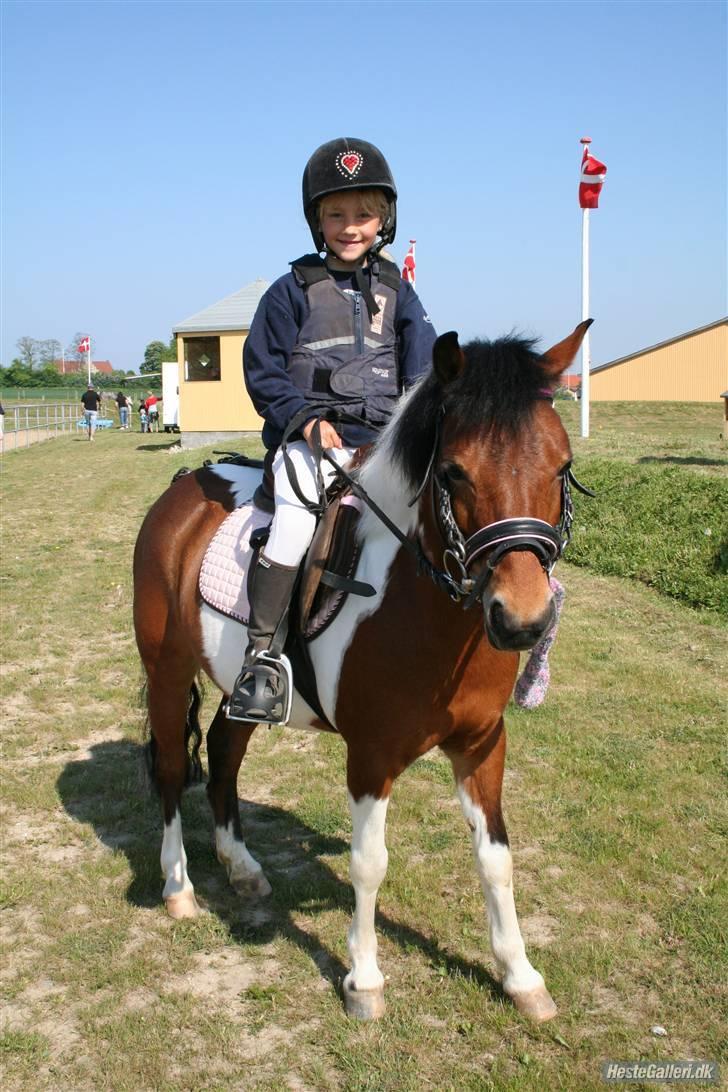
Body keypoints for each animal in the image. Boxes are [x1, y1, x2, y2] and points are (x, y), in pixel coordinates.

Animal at [133, 318, 593, 1017]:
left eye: (562, 466)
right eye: (453, 472)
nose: (522, 620)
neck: (425, 610)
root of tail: (183, 487)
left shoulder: (483, 745)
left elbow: (497, 858)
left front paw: (520, 976)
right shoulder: (371, 756)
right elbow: (368, 863)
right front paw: (365, 980)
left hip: (243, 688)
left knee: (223, 751)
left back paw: (240, 867)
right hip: (166, 669)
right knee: (168, 768)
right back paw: (179, 886)